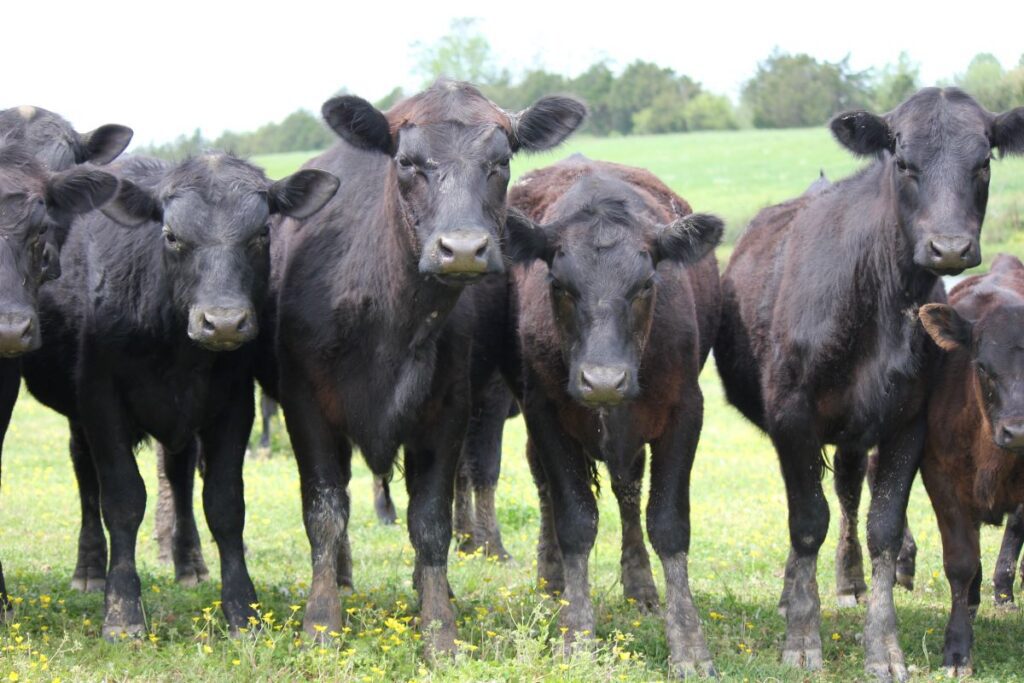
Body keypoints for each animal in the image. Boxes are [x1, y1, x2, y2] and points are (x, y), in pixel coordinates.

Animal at [20, 152, 339, 638]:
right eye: (171, 236)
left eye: (261, 233)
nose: (223, 323)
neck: (175, 349)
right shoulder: (100, 401)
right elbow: (123, 499)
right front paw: (122, 612)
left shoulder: (233, 405)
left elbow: (224, 503)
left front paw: (242, 609)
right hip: (79, 418)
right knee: (86, 475)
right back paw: (90, 570)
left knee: (179, 474)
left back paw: (189, 563)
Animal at [274, 80, 585, 651]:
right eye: (407, 162)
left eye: (501, 161)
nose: (461, 250)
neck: (388, 321)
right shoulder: (303, 404)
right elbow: (325, 514)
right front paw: (321, 622)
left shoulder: (449, 409)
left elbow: (431, 521)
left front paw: (439, 628)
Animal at [507, 156, 724, 679]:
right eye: (559, 285)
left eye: (645, 284)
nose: (603, 381)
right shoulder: (544, 412)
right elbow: (575, 521)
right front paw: (576, 634)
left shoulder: (685, 411)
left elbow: (667, 523)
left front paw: (689, 645)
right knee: (545, 487)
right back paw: (551, 580)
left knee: (628, 492)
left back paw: (640, 586)